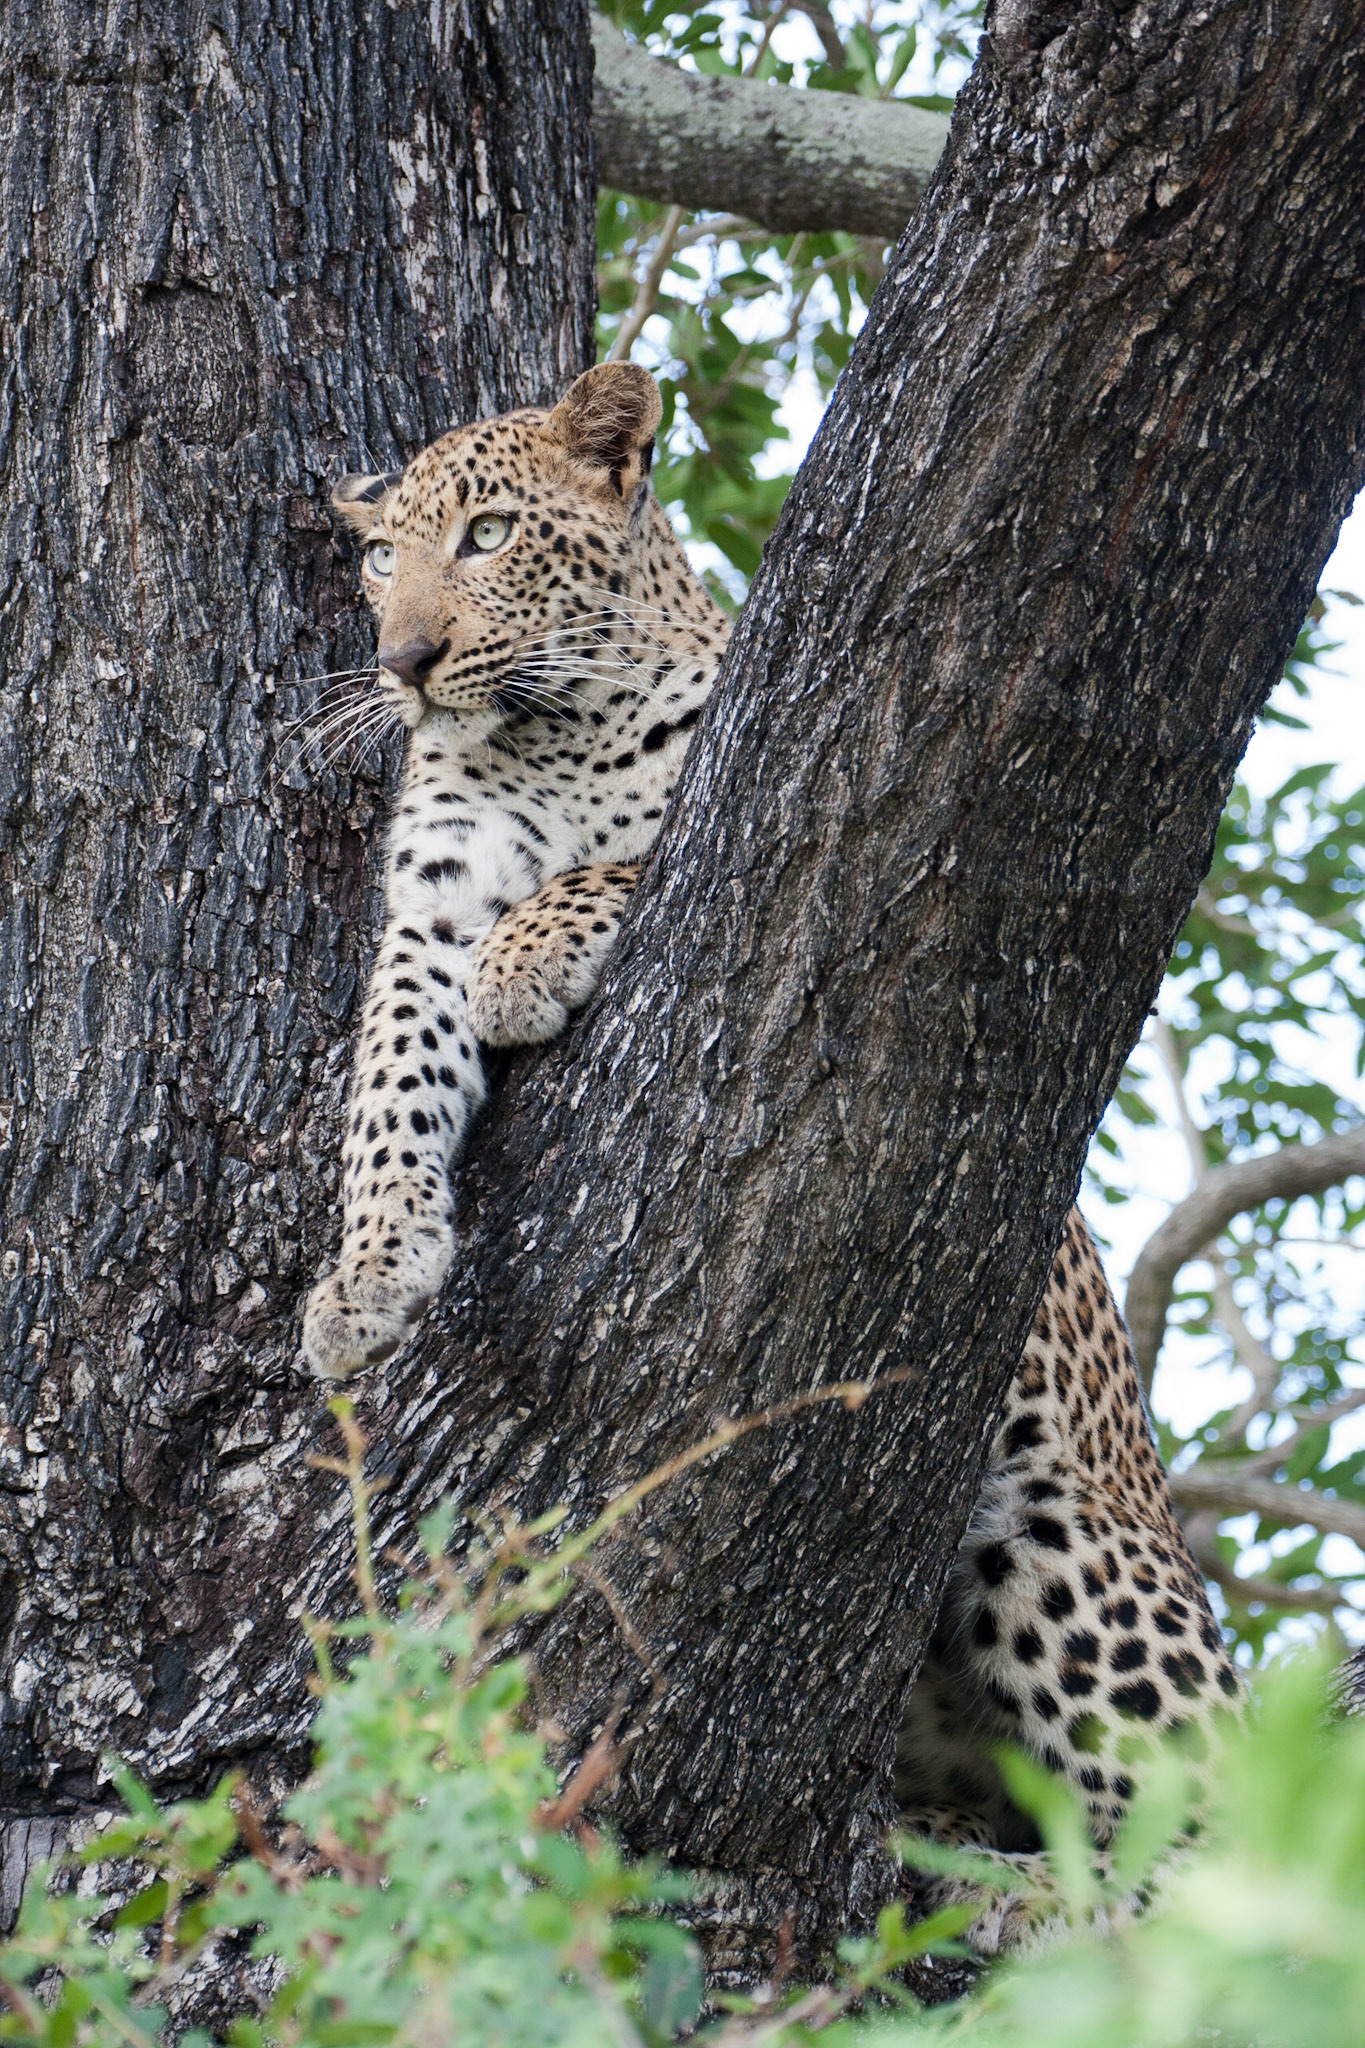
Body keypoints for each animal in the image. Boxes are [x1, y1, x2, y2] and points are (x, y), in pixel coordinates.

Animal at [300, 359, 1239, 1951]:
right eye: (380, 561)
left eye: (488, 535)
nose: (408, 659)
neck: (539, 733)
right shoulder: (422, 910)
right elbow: (390, 1086)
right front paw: (371, 1276)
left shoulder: (723, 815)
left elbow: (614, 868)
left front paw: (529, 960)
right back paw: (967, 1870)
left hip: (1062, 1538)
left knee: (1222, 1832)